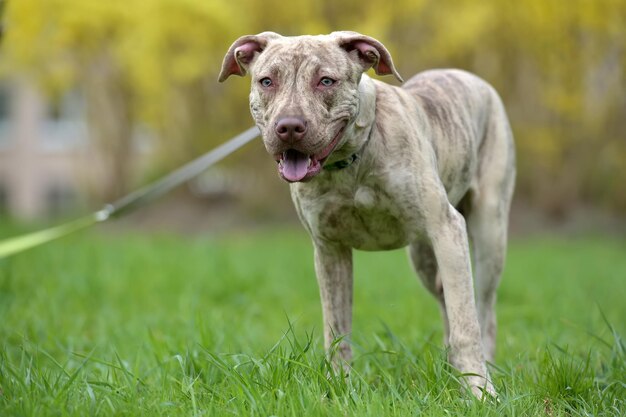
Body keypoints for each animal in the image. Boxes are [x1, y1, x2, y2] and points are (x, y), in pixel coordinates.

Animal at [217, 30, 516, 394]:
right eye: (266, 81)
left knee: (484, 310)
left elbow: (466, 324)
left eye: (326, 81)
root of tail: (469, 76)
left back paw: (484, 369)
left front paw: (479, 392)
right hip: (423, 255)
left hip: (488, 235)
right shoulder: (330, 250)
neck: (350, 161)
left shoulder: (446, 228)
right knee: (445, 299)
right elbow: (336, 329)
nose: (289, 127)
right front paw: (338, 388)